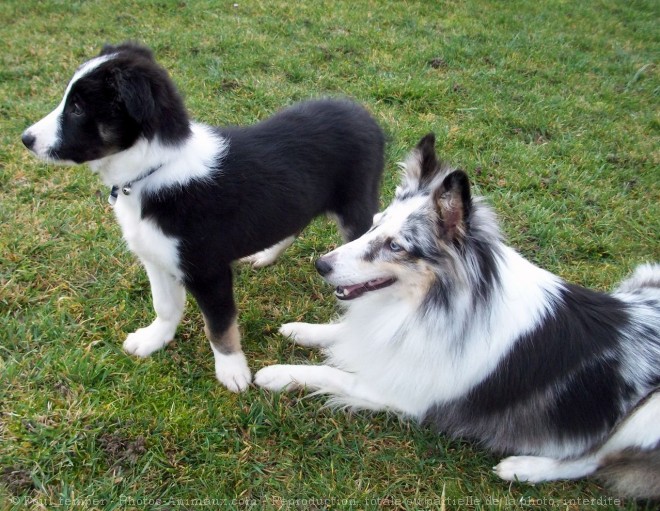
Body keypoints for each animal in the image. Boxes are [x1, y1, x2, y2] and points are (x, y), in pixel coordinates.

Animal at [21, 43, 386, 392]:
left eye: (77, 108)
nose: (25, 139)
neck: (151, 170)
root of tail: (366, 116)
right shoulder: (156, 258)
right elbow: (165, 306)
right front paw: (154, 339)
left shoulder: (208, 271)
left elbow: (219, 326)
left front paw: (233, 372)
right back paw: (266, 254)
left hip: (354, 205)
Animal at [256, 134, 660, 498]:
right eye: (373, 224)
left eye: (396, 246)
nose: (321, 265)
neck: (441, 303)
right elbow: (344, 334)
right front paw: (300, 331)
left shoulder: (403, 394)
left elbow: (332, 374)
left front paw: (278, 373)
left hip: (645, 415)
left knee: (593, 459)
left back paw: (525, 468)